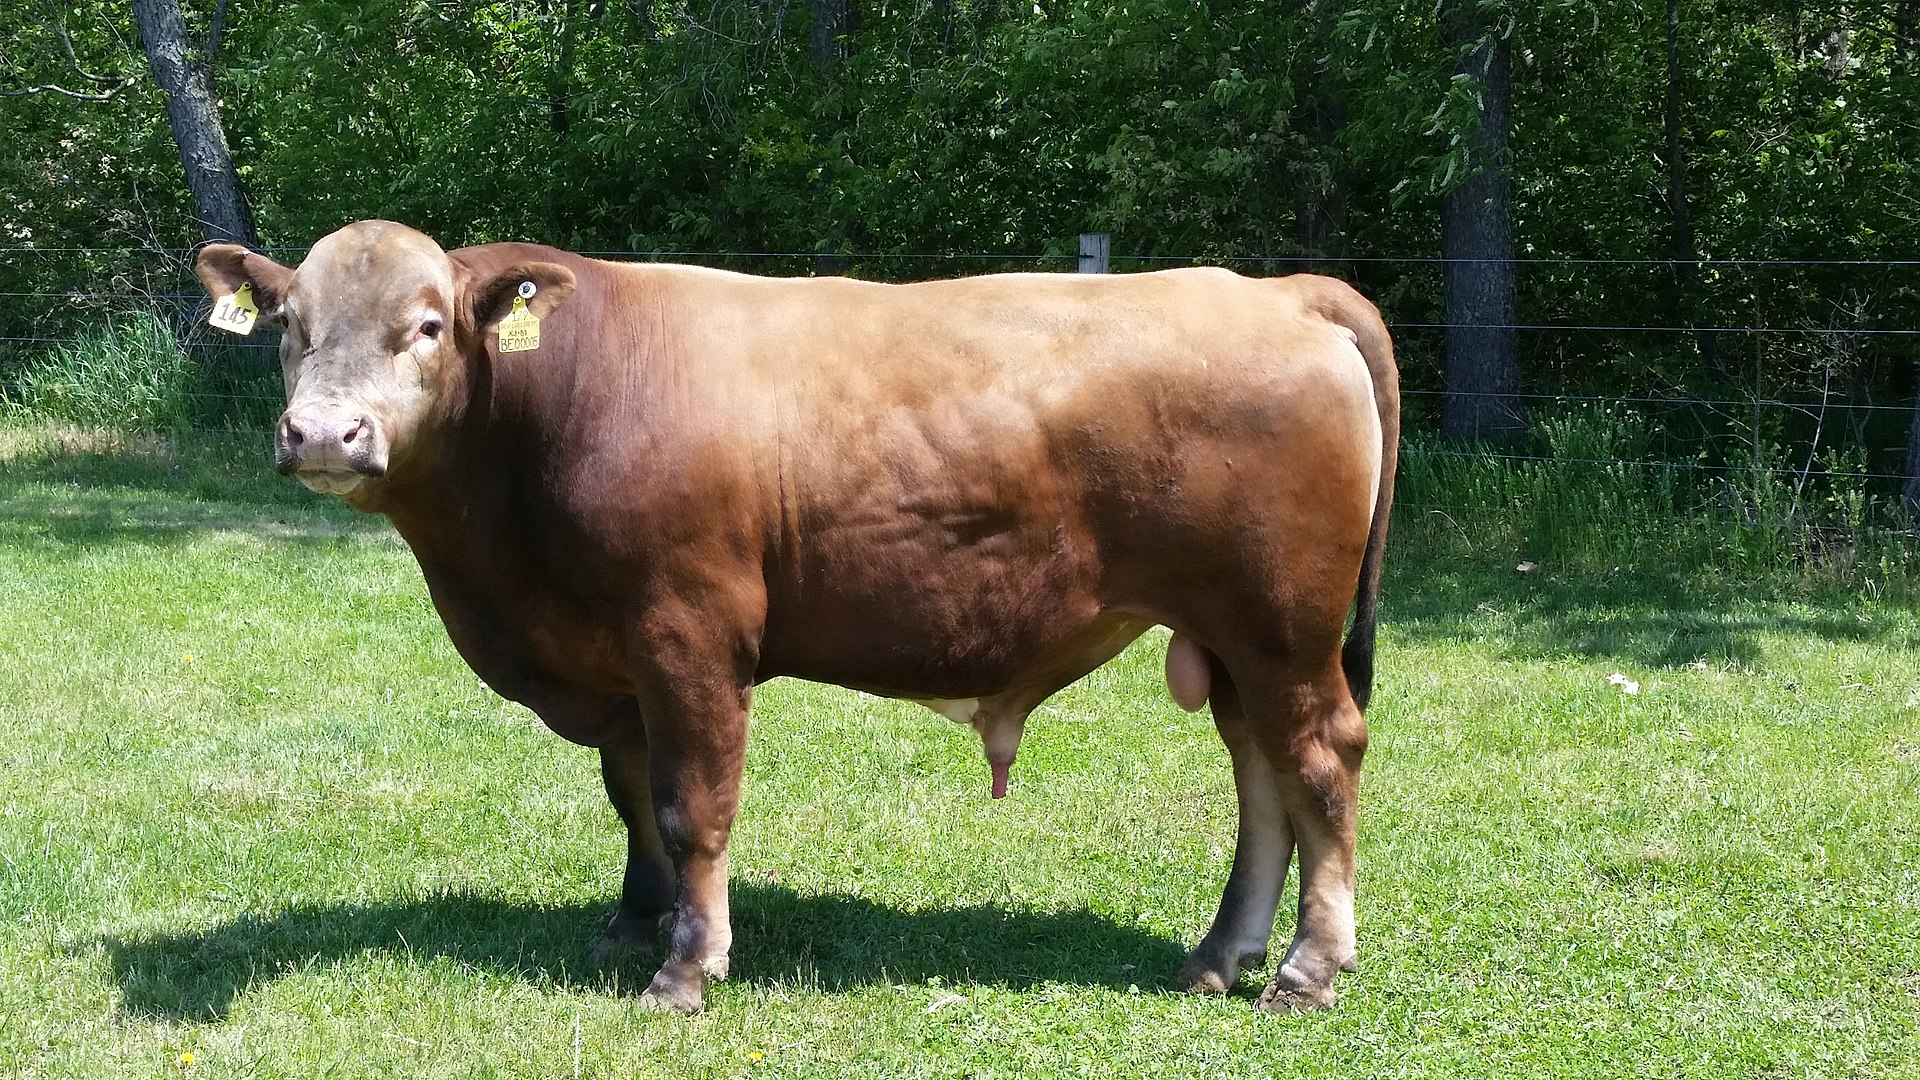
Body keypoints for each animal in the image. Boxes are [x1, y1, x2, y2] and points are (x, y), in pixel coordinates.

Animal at [193, 220, 1398, 1015]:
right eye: (289, 324)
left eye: (429, 326)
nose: (322, 434)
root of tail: (1280, 292)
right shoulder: (617, 659)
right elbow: (632, 797)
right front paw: (633, 921)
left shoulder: (688, 630)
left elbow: (693, 805)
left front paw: (686, 969)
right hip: (1235, 640)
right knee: (1262, 778)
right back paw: (1219, 955)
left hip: (1282, 626)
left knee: (1322, 762)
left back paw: (1308, 969)